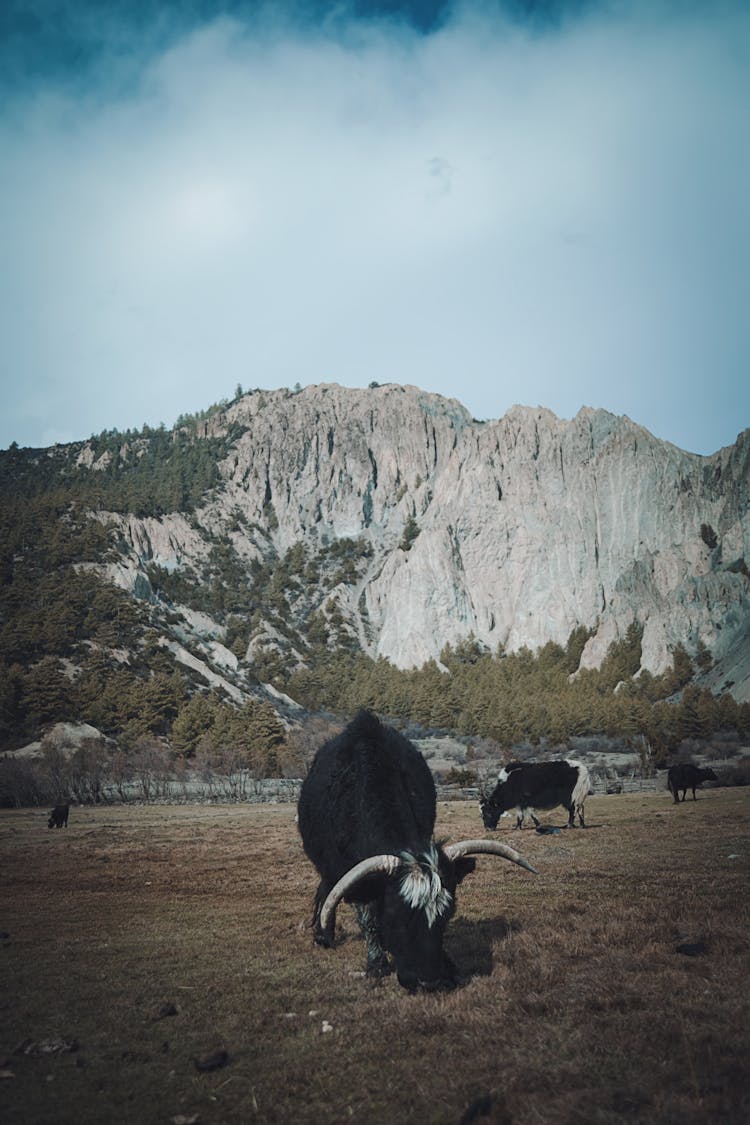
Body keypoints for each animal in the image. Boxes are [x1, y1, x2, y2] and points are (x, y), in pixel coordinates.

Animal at [296, 706, 537, 990]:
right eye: (397, 915)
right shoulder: (352, 877)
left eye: (448, 914)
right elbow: (368, 919)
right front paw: (376, 964)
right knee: (326, 889)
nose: (430, 981)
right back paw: (323, 935)